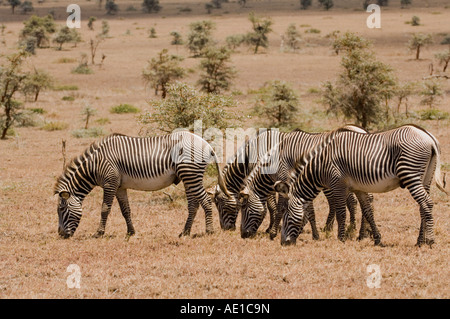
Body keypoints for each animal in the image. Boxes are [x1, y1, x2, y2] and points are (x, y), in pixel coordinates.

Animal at [53, 131, 229, 239]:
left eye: (61, 209)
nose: (61, 235)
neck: (95, 164)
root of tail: (206, 144)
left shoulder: (110, 183)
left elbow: (105, 209)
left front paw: (99, 233)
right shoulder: (120, 187)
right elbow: (125, 210)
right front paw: (131, 232)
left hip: (190, 174)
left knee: (206, 201)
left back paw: (209, 230)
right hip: (189, 176)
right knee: (193, 204)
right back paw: (184, 232)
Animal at [239, 125, 370, 240]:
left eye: (243, 207)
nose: (243, 235)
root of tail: (363, 130)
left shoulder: (285, 180)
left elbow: (281, 208)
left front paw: (273, 233)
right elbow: (307, 209)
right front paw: (311, 232)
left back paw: (356, 231)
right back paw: (362, 233)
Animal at [276, 125, 448, 248]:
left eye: (286, 214)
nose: (283, 243)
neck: (321, 165)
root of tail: (428, 136)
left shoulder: (338, 185)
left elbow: (341, 213)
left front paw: (341, 238)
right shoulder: (359, 188)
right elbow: (367, 211)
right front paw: (377, 238)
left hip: (410, 173)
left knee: (426, 203)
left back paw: (430, 241)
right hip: (425, 178)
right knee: (423, 206)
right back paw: (420, 241)